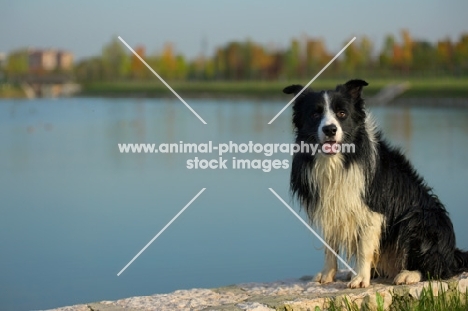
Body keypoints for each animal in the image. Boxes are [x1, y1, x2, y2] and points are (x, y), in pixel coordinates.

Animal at [284, 79, 468, 288]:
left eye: (342, 113)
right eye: (315, 114)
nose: (330, 130)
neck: (339, 160)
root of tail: (452, 254)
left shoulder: (373, 211)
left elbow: (364, 247)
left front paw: (361, 279)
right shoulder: (332, 206)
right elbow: (329, 245)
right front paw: (327, 274)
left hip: (420, 218)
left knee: (438, 267)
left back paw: (409, 274)